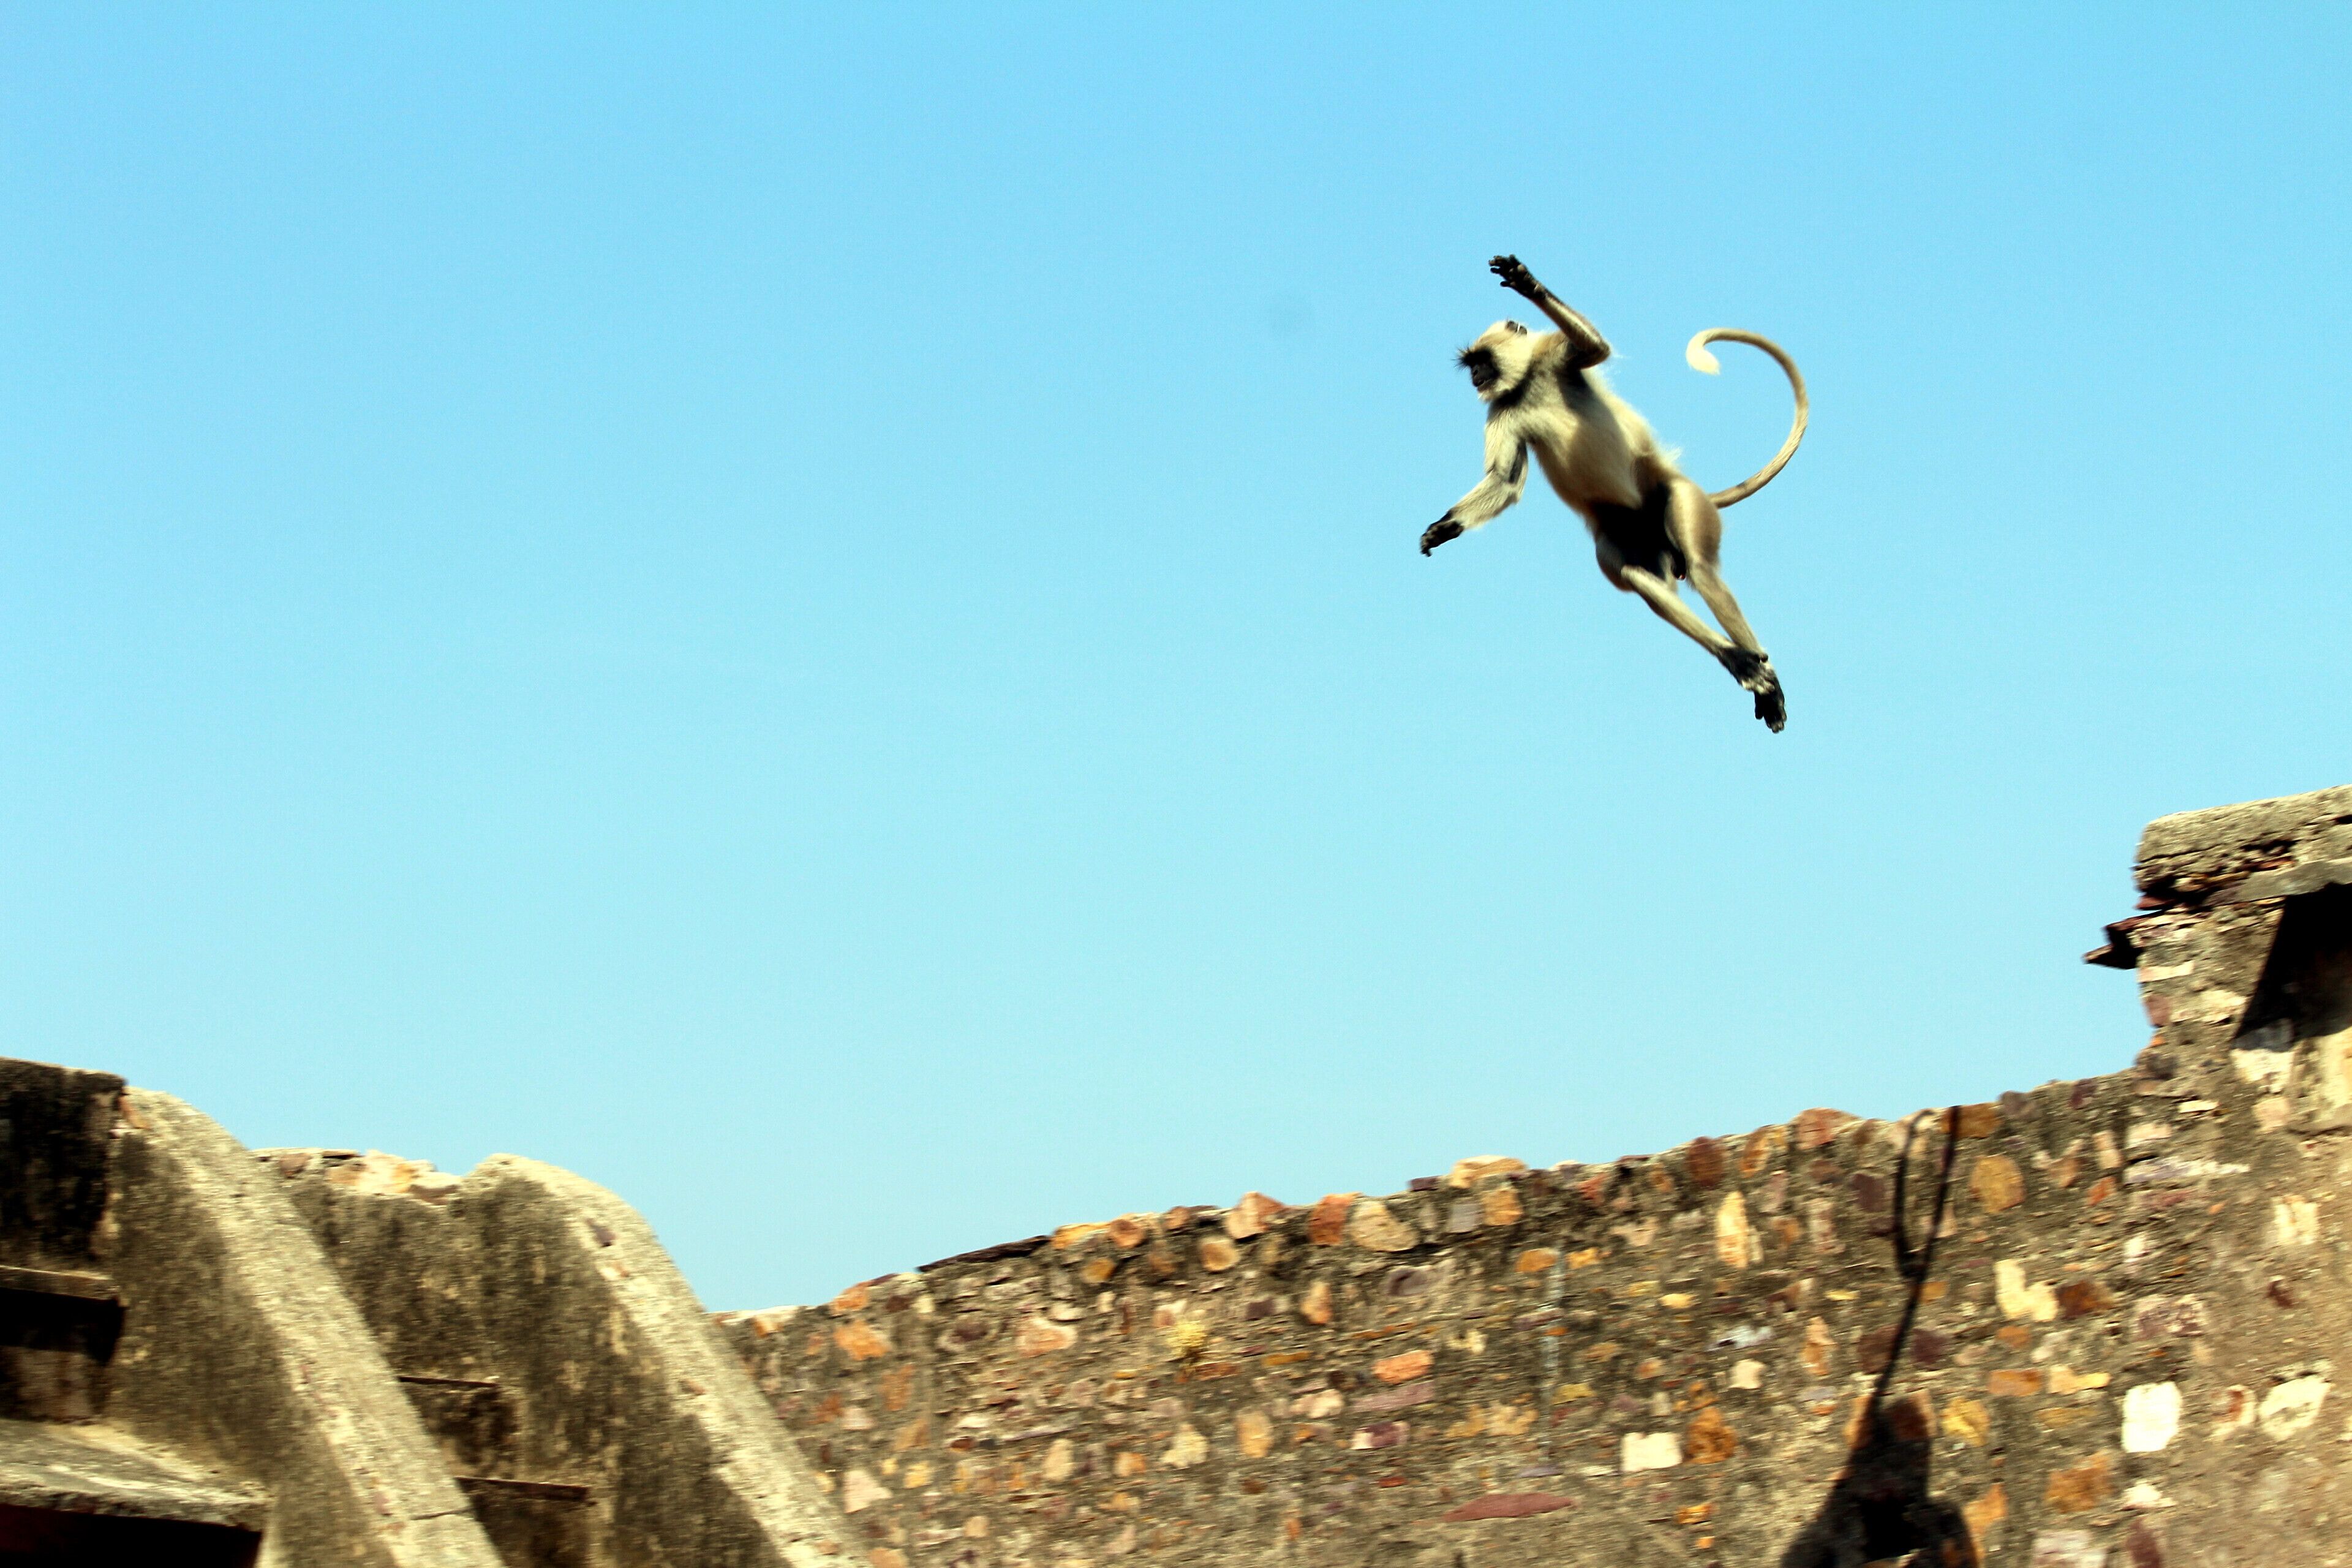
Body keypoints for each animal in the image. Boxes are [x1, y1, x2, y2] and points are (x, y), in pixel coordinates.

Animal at [1422, 255, 1808, 732]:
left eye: (1483, 362)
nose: (1475, 376)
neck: (1526, 383)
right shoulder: (1501, 408)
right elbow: (1505, 483)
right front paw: (1443, 528)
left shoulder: (1553, 358)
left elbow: (1595, 351)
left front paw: (1526, 282)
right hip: (1627, 536)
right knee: (1639, 577)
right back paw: (1740, 663)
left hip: (1679, 498)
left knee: (1702, 571)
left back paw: (1767, 680)